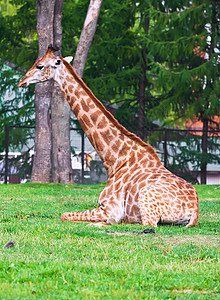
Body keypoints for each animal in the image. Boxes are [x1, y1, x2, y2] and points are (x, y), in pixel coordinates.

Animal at [18, 45, 199, 227]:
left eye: (40, 66)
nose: (21, 81)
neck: (115, 161)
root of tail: (194, 211)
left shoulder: (110, 209)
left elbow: (65, 215)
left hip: (147, 201)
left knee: (147, 225)